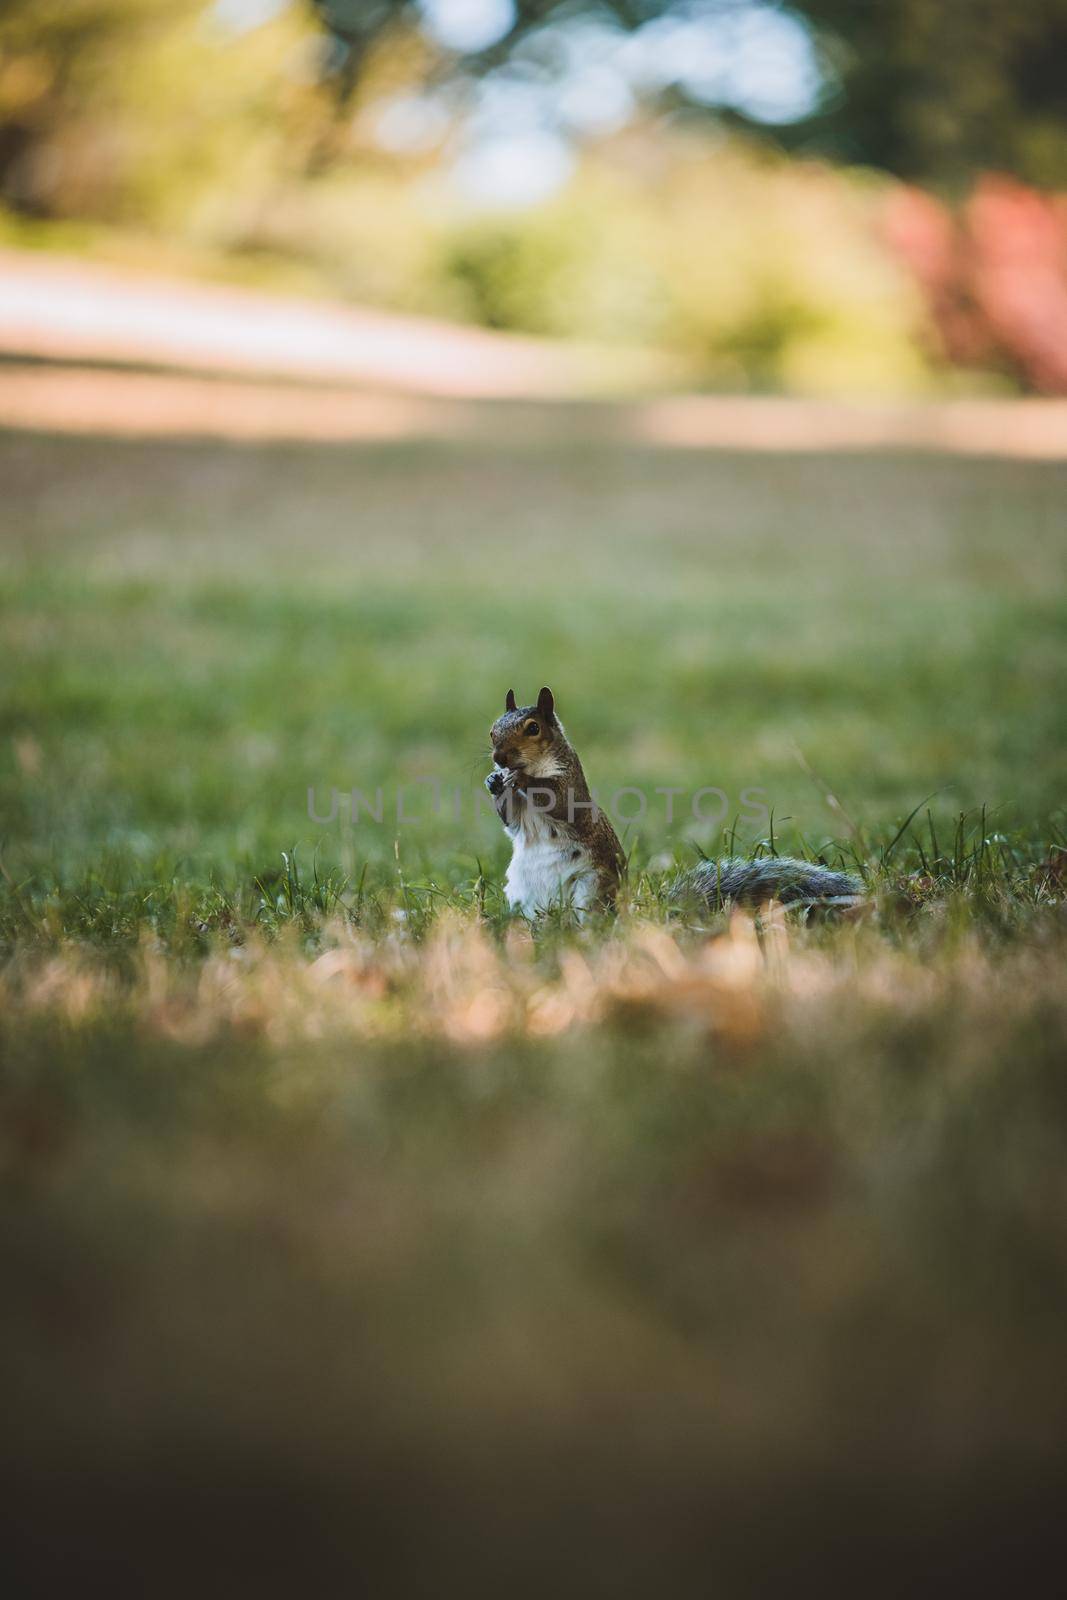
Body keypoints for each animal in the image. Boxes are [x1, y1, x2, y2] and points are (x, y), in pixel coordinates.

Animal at [489, 681, 863, 921]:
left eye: (533, 728)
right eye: (492, 731)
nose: (499, 758)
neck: (533, 765)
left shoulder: (571, 785)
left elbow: (560, 801)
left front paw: (520, 781)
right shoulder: (518, 814)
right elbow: (510, 820)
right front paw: (494, 783)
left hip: (590, 891)